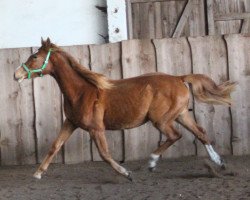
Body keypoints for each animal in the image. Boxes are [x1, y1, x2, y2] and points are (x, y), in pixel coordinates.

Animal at [14, 38, 236, 180]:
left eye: (34, 56)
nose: (17, 75)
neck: (82, 91)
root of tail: (179, 78)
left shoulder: (96, 129)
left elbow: (104, 154)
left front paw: (126, 173)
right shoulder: (71, 123)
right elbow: (55, 146)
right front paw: (37, 173)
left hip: (162, 120)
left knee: (175, 135)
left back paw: (152, 162)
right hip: (181, 115)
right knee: (201, 133)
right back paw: (220, 163)